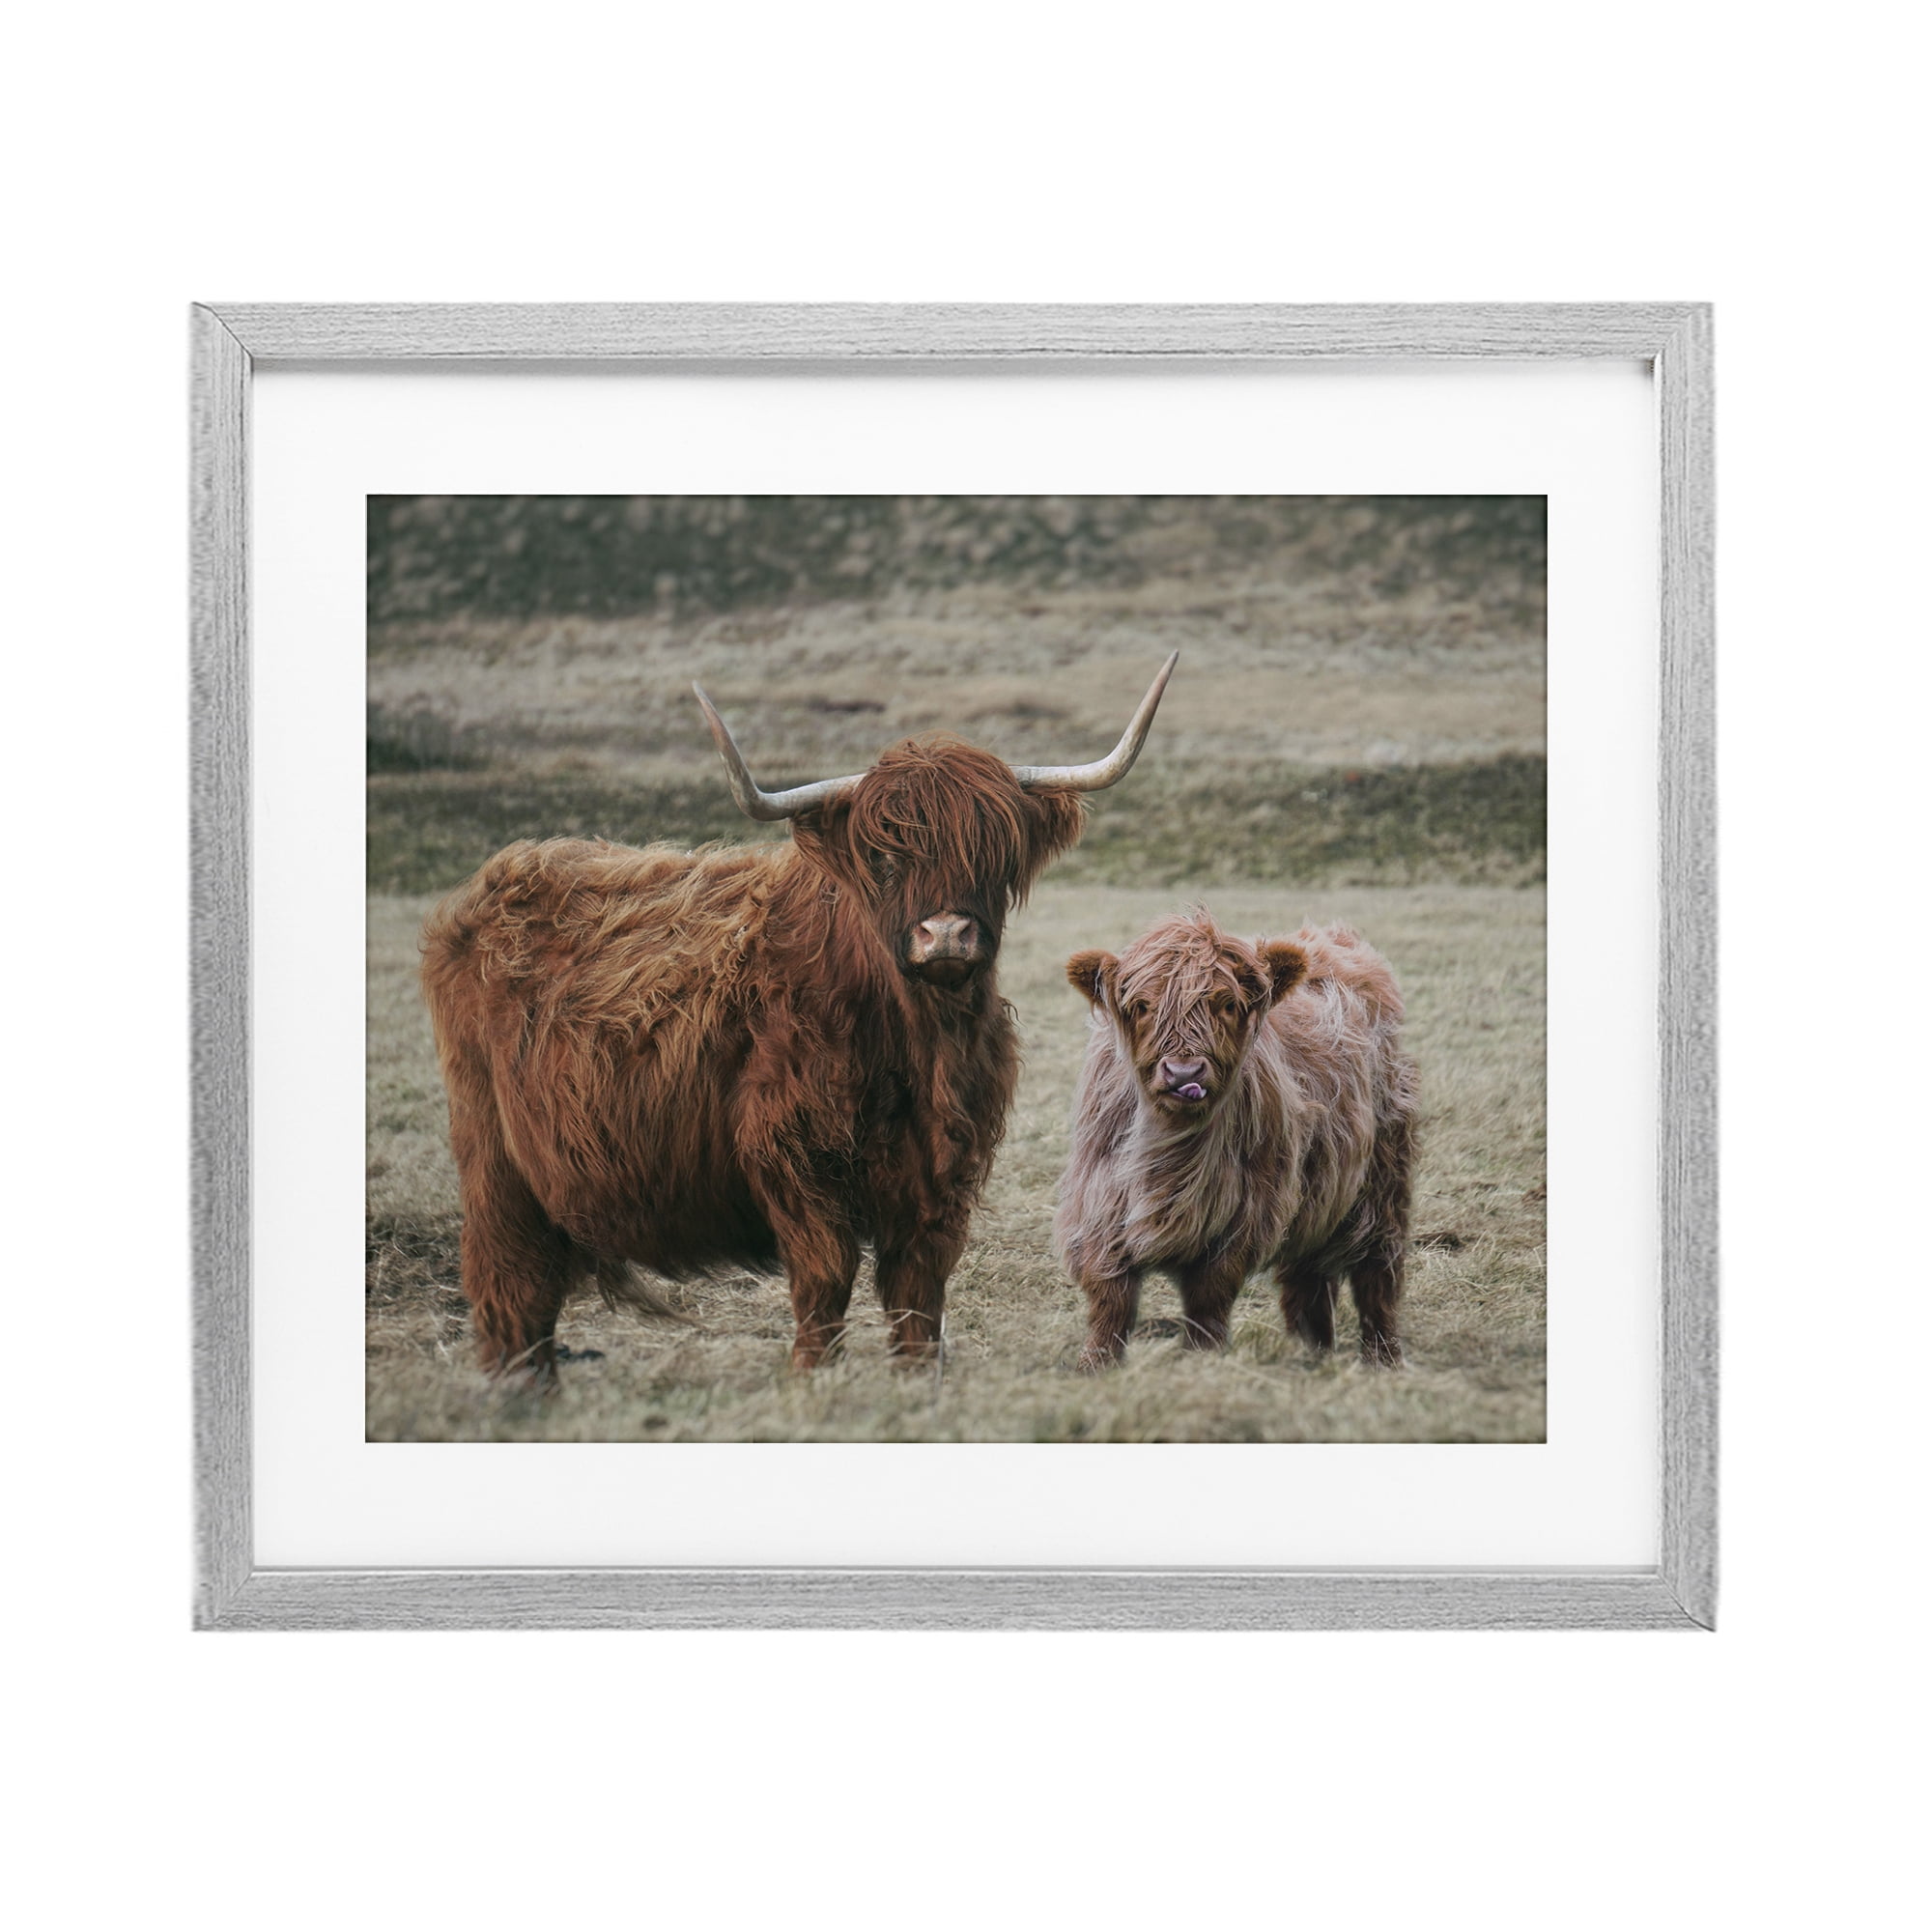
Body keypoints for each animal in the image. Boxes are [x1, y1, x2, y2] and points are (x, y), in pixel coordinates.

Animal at [420, 655, 1178, 1382]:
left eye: (996, 852)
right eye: (883, 855)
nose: (946, 935)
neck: (915, 1045)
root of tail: (498, 877)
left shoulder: (942, 1171)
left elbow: (918, 1291)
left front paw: (916, 1379)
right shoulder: (793, 1155)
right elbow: (825, 1278)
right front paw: (813, 1377)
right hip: (493, 1155)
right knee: (510, 1283)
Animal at [1054, 909, 1416, 1370]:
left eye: (1227, 1004)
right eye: (1142, 1006)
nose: (1183, 1074)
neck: (1172, 1153)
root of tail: (1331, 938)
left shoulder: (1244, 1217)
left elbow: (1208, 1299)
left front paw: (1200, 1359)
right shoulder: (1099, 1205)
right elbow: (1110, 1299)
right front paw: (1096, 1365)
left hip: (1383, 1179)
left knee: (1377, 1272)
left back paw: (1382, 1358)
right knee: (1307, 1278)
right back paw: (1310, 1352)